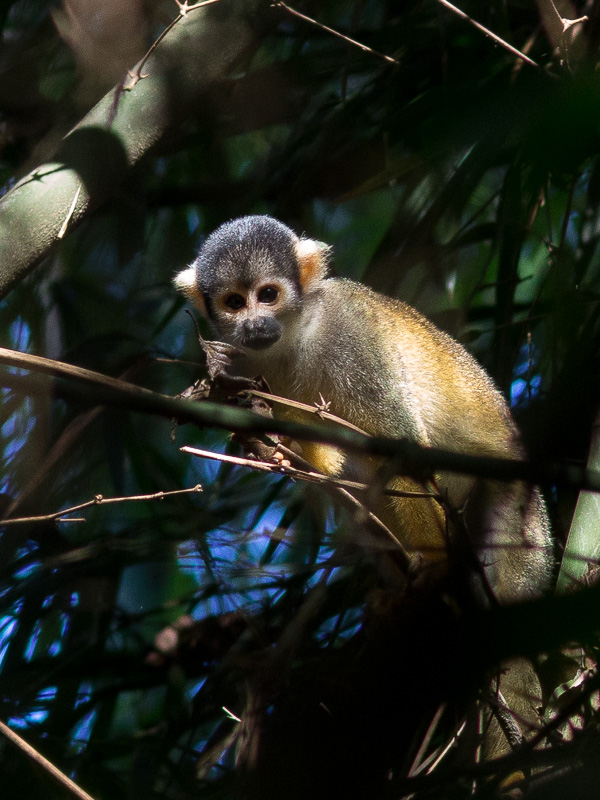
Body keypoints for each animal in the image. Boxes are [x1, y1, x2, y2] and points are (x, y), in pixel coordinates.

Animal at [176, 211, 556, 752]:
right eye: (233, 302)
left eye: (267, 294)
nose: (253, 323)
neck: (297, 334)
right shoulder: (246, 361)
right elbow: (328, 467)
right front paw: (268, 439)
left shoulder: (351, 340)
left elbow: (401, 451)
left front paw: (433, 566)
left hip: (519, 515)